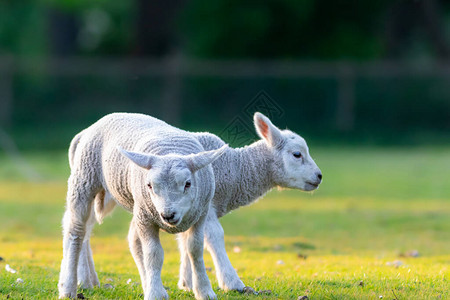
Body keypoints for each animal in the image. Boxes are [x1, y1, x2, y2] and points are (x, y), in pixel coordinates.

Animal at [57, 113, 227, 300]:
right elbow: (154, 254)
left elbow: (194, 250)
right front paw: (154, 293)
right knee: (76, 233)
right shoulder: (145, 218)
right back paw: (68, 287)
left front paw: (204, 290)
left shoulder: (200, 216)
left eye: (188, 184)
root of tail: (89, 128)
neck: (171, 149)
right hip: (84, 181)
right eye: (149, 185)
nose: (168, 215)